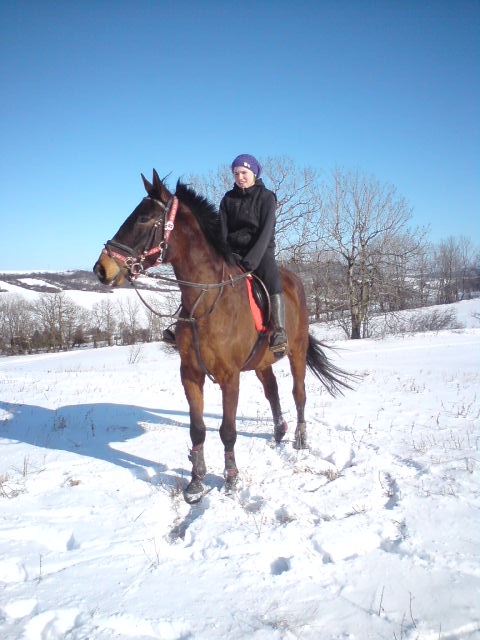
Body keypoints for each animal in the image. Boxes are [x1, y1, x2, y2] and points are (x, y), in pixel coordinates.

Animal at [94, 171, 350, 504]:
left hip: (296, 352)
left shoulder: (230, 377)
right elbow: (197, 429)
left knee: (298, 394)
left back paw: (300, 438)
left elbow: (227, 431)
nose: (101, 268)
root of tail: (294, 281)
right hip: (261, 362)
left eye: (144, 219)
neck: (206, 300)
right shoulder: (190, 374)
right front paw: (196, 482)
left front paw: (230, 480)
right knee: (273, 392)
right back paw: (279, 431)